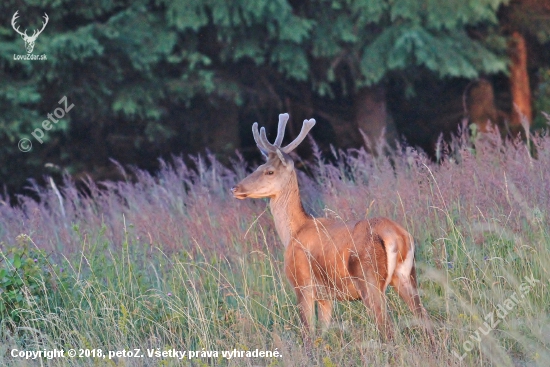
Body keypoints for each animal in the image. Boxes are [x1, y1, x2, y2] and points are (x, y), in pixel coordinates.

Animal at [232, 113, 436, 350]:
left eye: (269, 171)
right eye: (257, 167)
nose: (236, 188)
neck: (294, 231)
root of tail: (395, 235)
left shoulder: (303, 284)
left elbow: (308, 335)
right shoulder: (325, 297)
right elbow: (323, 334)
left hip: (368, 279)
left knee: (388, 330)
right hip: (407, 275)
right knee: (425, 321)